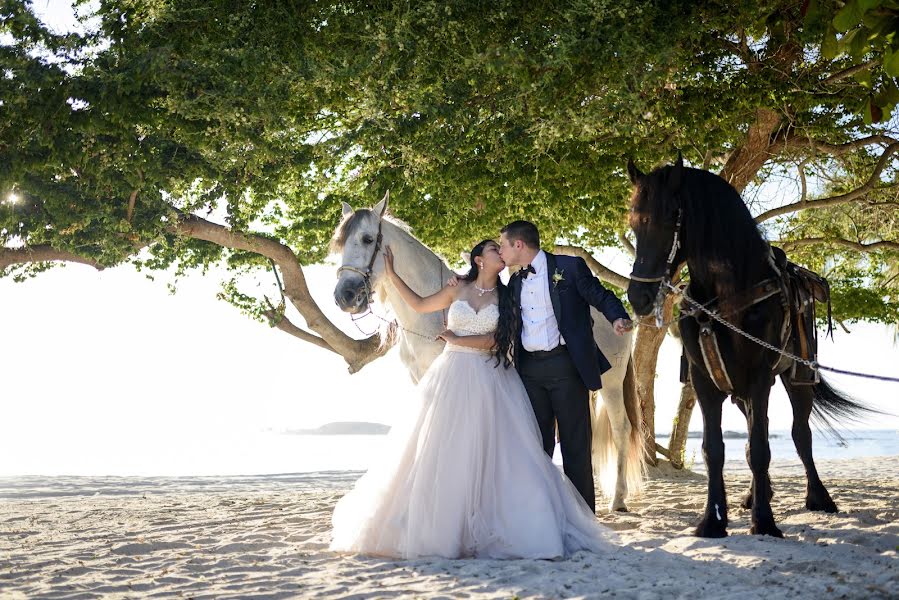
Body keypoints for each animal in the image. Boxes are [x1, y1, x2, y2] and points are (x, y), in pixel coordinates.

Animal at [334, 193, 644, 510]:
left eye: (368, 239)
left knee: (621, 430)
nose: (344, 296)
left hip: (610, 384)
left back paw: (617, 499)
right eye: (340, 243)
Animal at [624, 156, 872, 540]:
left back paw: (818, 497)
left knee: (799, 434)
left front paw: (765, 521)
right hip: (741, 391)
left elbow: (760, 448)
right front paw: (713, 520)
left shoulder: (759, 378)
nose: (638, 297)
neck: (725, 298)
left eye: (669, 218)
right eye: (635, 222)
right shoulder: (705, 381)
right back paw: (758, 493)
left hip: (797, 378)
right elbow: (715, 449)